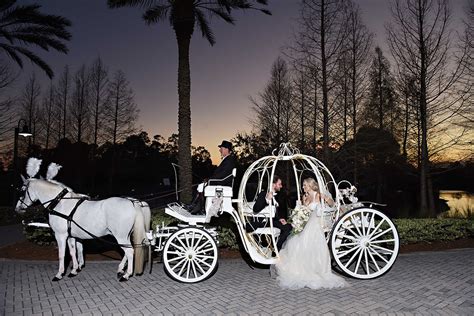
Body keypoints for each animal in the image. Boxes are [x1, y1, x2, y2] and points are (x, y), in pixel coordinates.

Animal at [16, 178, 146, 282]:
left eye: (22, 190)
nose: (17, 208)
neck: (60, 203)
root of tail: (131, 202)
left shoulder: (60, 235)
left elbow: (62, 255)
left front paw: (59, 274)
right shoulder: (71, 236)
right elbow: (73, 252)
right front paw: (74, 270)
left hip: (120, 236)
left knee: (130, 252)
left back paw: (126, 275)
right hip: (124, 236)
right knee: (129, 250)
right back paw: (121, 270)